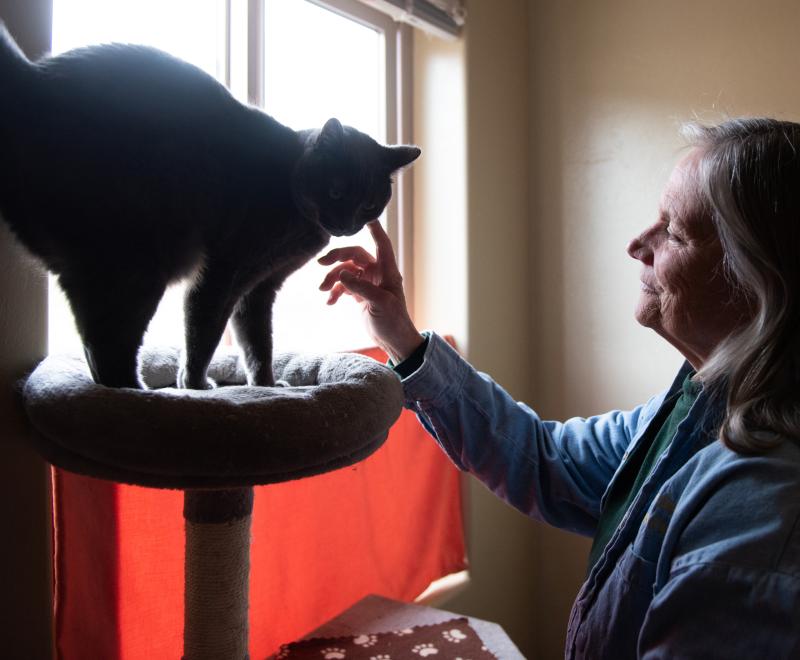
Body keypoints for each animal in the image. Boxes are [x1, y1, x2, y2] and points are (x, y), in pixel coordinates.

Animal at [0, 23, 422, 390]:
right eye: (335, 192)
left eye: (369, 203)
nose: (347, 223)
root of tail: (32, 81)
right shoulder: (224, 269)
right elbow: (205, 328)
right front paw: (196, 385)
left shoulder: (260, 288)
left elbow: (257, 341)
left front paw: (266, 385)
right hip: (141, 261)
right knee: (108, 347)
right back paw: (141, 395)